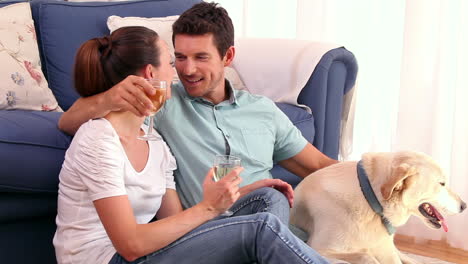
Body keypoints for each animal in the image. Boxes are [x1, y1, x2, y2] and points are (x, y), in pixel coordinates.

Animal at [290, 151, 466, 264]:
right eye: (442, 183)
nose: (464, 206)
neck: (370, 201)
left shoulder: (387, 251)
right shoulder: (319, 248)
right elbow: (366, 256)